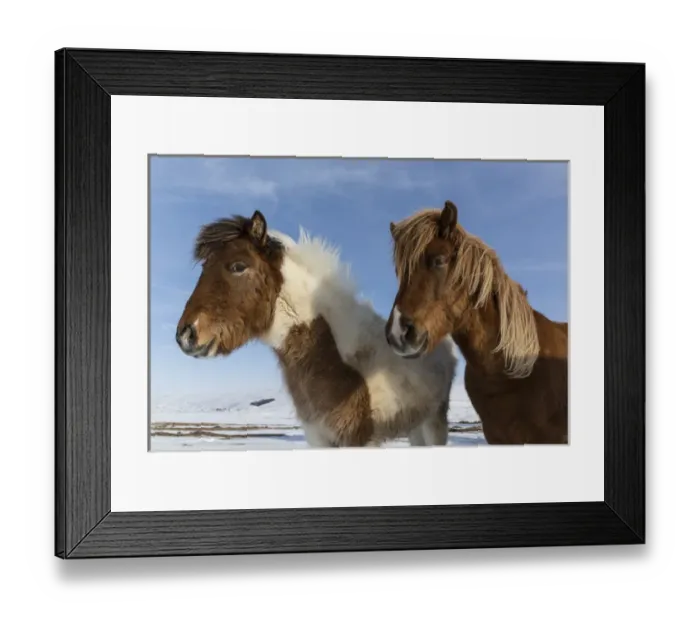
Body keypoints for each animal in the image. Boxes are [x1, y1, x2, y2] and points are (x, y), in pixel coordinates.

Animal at [175, 209, 458, 448]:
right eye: (204, 267)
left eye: (238, 266)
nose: (186, 334)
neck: (332, 357)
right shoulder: (318, 439)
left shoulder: (359, 441)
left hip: (434, 421)